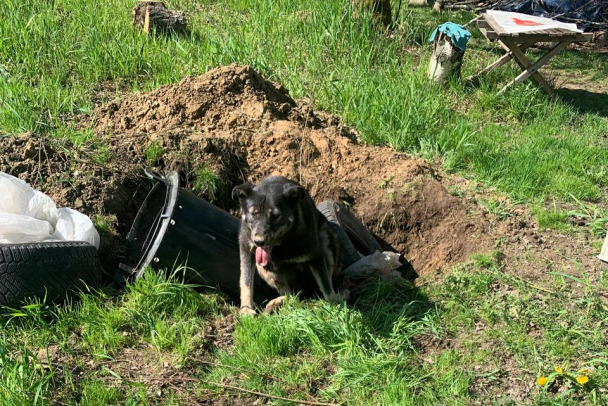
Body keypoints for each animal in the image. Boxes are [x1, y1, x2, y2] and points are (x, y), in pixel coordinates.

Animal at [233, 175, 344, 314]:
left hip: (326, 241)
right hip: (263, 267)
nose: (259, 241)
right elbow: (246, 281)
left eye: (275, 216)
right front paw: (246, 310)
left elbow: (326, 288)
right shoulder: (246, 249)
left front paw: (338, 299)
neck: (281, 244)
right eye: (254, 213)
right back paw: (277, 303)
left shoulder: (315, 255)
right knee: (291, 295)